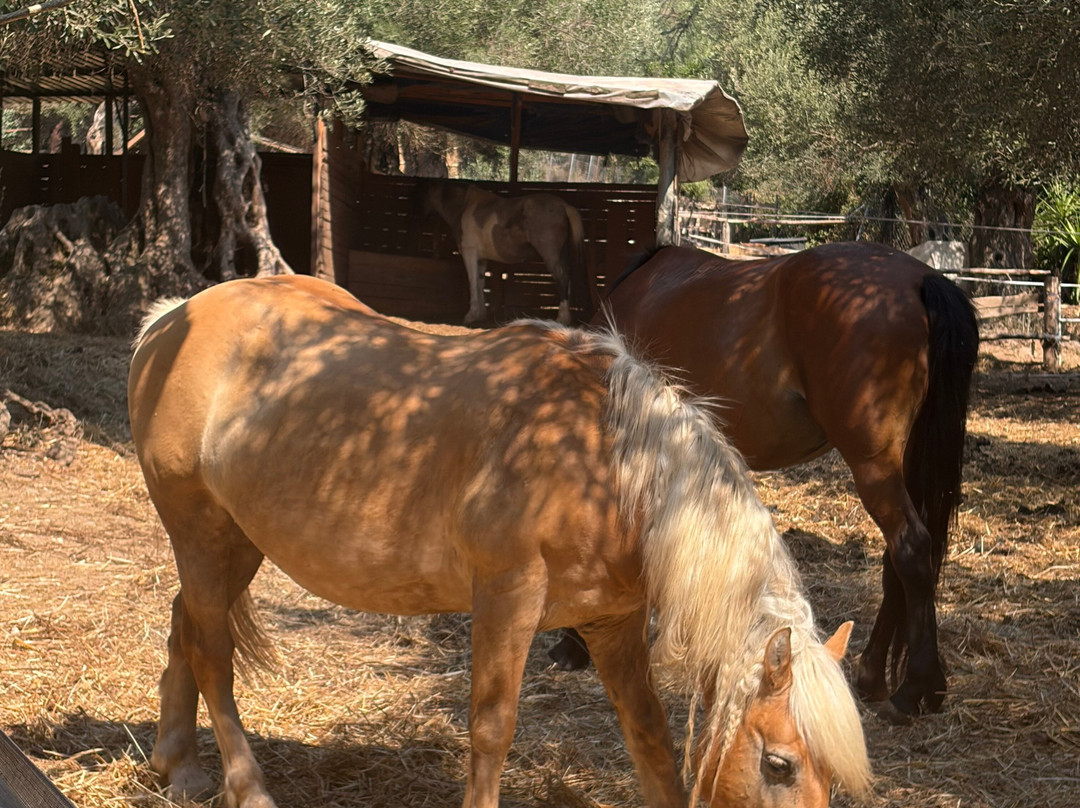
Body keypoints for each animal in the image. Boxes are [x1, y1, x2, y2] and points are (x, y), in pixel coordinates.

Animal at [128, 274, 870, 808]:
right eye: (780, 764)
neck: (609, 467)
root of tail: (171, 318)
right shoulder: (508, 597)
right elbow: (491, 729)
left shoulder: (613, 623)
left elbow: (650, 737)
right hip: (197, 527)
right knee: (212, 651)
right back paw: (246, 788)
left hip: (237, 539)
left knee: (186, 624)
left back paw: (178, 764)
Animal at [416, 180, 590, 325]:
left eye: (420, 193)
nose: (421, 216)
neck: (464, 206)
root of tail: (563, 206)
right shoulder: (481, 259)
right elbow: (480, 282)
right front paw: (480, 314)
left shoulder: (470, 253)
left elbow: (472, 281)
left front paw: (471, 315)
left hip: (551, 256)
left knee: (562, 279)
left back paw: (562, 318)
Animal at [548, 242, 978, 721]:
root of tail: (921, 279)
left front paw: (576, 643)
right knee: (899, 562)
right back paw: (873, 678)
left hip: (875, 467)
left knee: (911, 550)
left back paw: (916, 688)